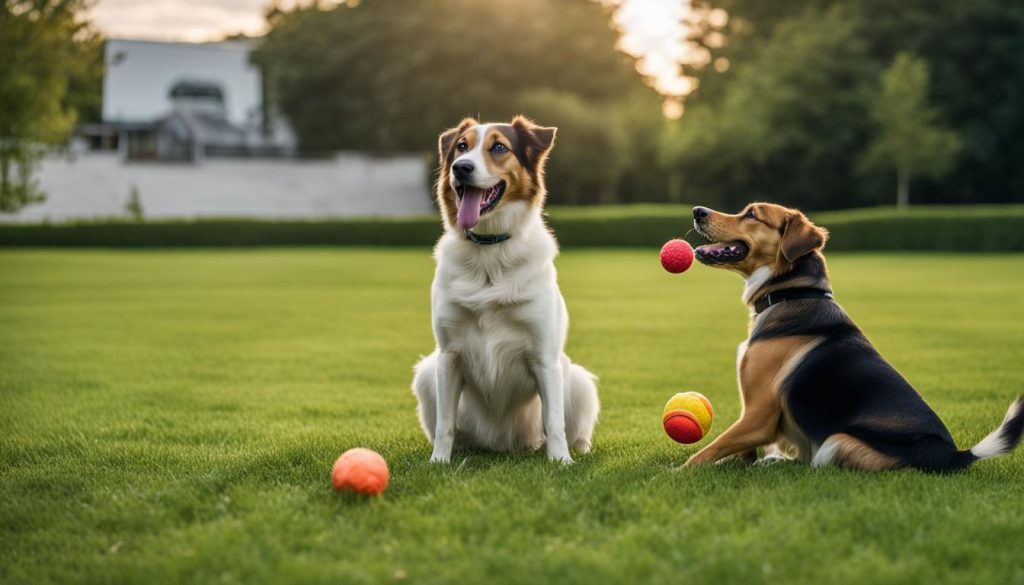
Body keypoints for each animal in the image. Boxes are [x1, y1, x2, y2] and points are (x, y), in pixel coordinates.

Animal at [409, 116, 598, 465]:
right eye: (461, 146)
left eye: (498, 147)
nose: (460, 167)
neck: (489, 251)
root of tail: (505, 445)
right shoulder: (448, 357)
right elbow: (444, 424)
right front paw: (439, 462)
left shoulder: (545, 358)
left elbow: (554, 422)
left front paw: (561, 462)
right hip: (427, 373)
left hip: (577, 380)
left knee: (570, 430)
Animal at [688, 203, 1024, 473]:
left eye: (751, 214)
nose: (697, 211)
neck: (790, 292)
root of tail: (955, 455)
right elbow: (734, 454)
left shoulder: (758, 416)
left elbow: (706, 453)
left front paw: (680, 474)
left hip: (836, 441)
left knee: (815, 466)